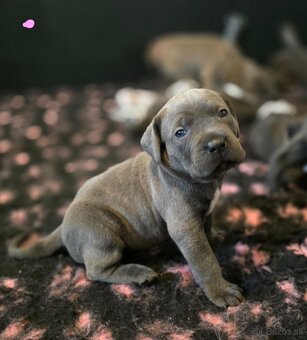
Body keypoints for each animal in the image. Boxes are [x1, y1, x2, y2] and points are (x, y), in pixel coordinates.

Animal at [8, 89, 247, 306]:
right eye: (180, 133)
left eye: (223, 113)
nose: (216, 143)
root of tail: (64, 223)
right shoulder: (184, 225)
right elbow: (204, 259)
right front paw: (220, 290)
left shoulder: (204, 212)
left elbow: (207, 226)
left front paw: (214, 237)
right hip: (102, 234)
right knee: (96, 270)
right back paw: (137, 272)